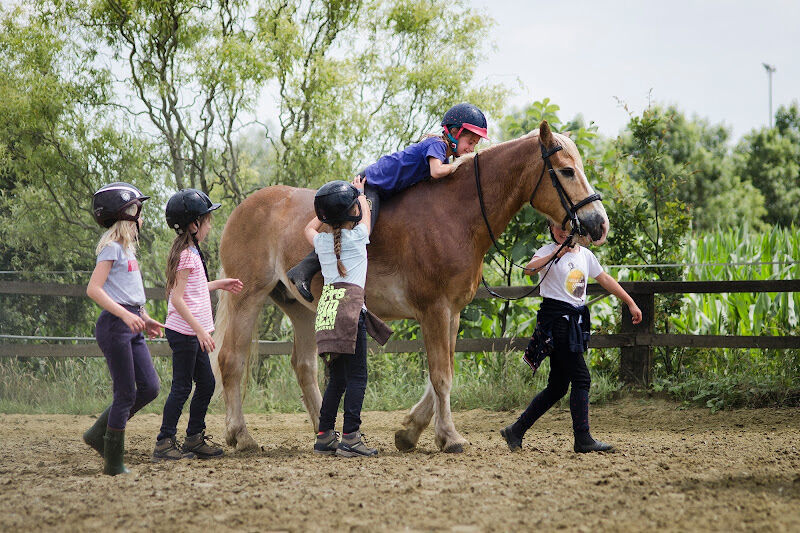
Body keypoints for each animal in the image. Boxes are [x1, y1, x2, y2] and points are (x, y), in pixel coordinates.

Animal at [211, 121, 608, 454]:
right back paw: (241, 437)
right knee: (231, 361)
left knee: (304, 366)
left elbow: (442, 376)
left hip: (300, 308)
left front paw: (410, 432)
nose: (598, 224)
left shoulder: (451, 313)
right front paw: (449, 437)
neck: (455, 214)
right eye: (567, 170)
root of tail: (245, 207)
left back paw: (326, 435)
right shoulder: (435, 310)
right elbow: (442, 376)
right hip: (248, 297)